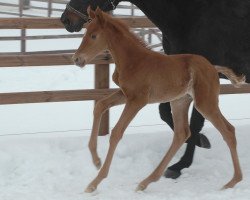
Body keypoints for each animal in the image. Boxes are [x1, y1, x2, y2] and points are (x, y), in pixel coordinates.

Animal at [61, 0, 250, 178]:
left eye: (93, 36)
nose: (66, 19)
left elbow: (195, 122)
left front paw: (181, 164)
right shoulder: (163, 88)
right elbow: (164, 113)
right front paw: (201, 141)